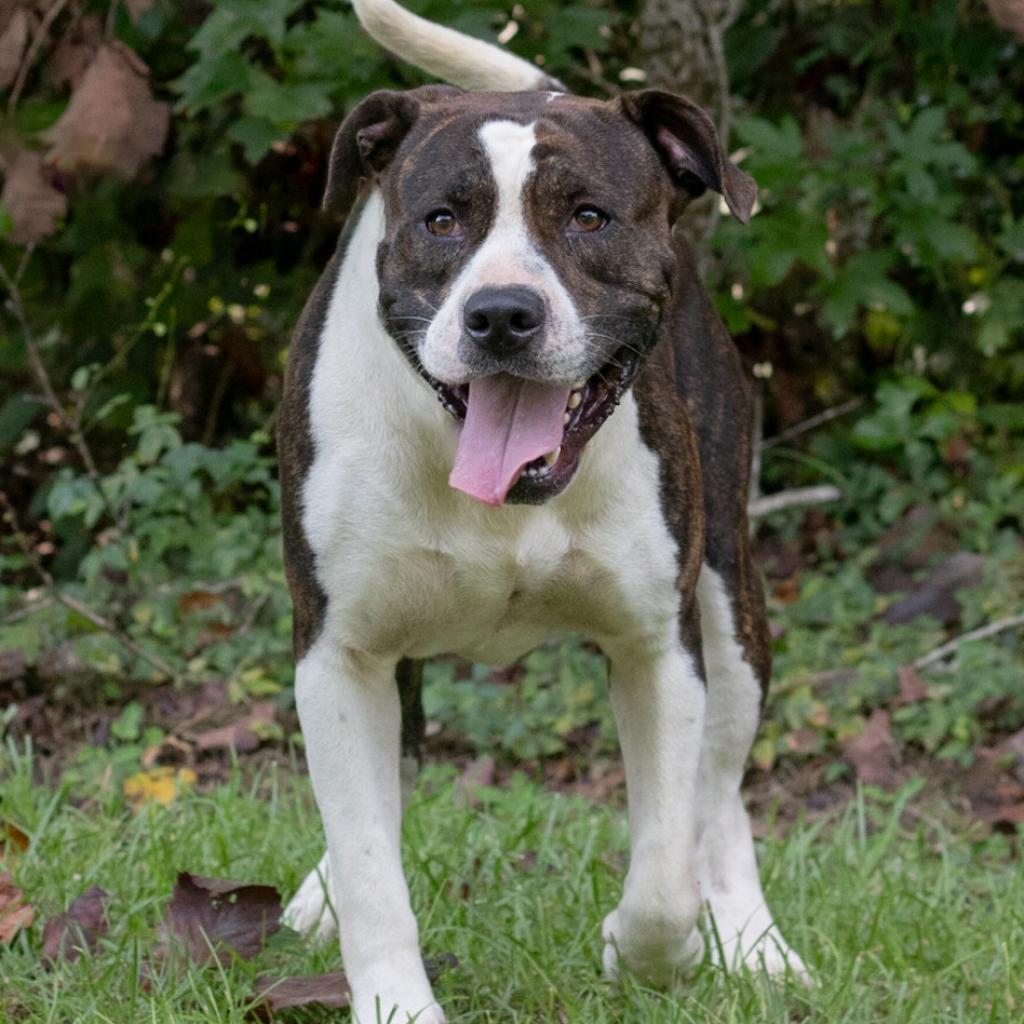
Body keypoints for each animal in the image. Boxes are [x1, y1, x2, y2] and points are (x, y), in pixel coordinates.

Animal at [278, 2, 806, 1015]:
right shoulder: (338, 650)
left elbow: (665, 873)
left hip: (731, 598)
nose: (501, 313)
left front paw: (645, 952)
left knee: (720, 793)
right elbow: (370, 865)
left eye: (588, 217)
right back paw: (319, 888)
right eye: (442, 220)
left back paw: (754, 939)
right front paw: (396, 1001)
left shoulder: (658, 647)